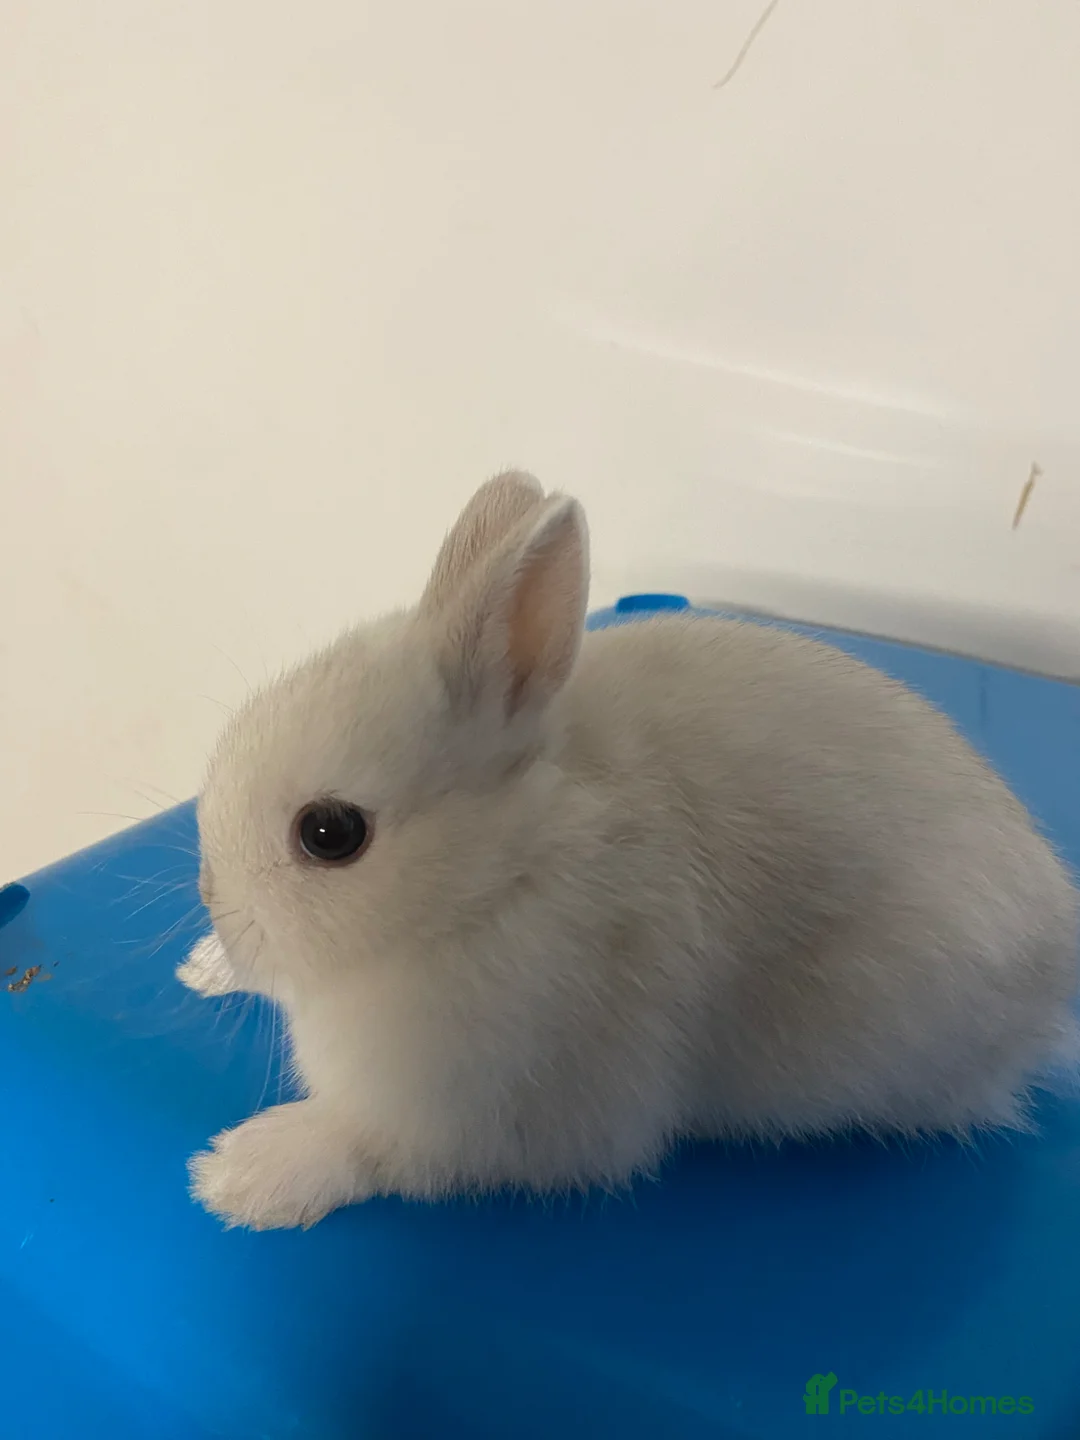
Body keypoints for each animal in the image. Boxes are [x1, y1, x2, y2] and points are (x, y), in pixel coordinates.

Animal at [181, 470, 1080, 1230]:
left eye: (330, 833)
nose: (213, 899)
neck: (503, 875)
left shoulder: (489, 1116)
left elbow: (367, 1147)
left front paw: (240, 1173)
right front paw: (205, 968)